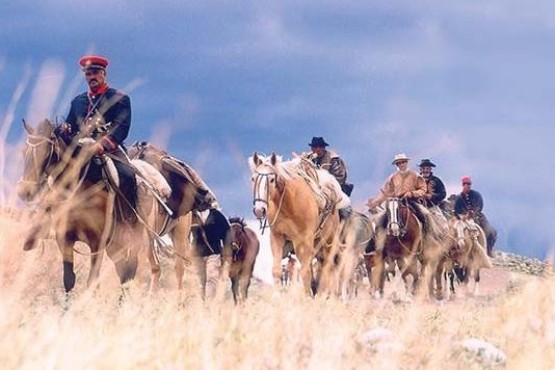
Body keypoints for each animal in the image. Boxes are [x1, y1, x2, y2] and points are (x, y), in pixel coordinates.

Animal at [17, 120, 149, 294]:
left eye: (45, 153)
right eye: (23, 152)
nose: (25, 191)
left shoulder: (97, 242)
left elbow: (92, 281)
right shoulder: (64, 239)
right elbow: (69, 279)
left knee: (128, 272)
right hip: (114, 247)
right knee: (123, 271)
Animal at [250, 151, 340, 294]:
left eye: (272, 180)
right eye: (253, 179)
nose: (259, 210)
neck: (289, 206)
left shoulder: (304, 239)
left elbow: (305, 272)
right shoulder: (277, 237)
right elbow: (277, 270)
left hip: (328, 241)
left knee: (327, 267)